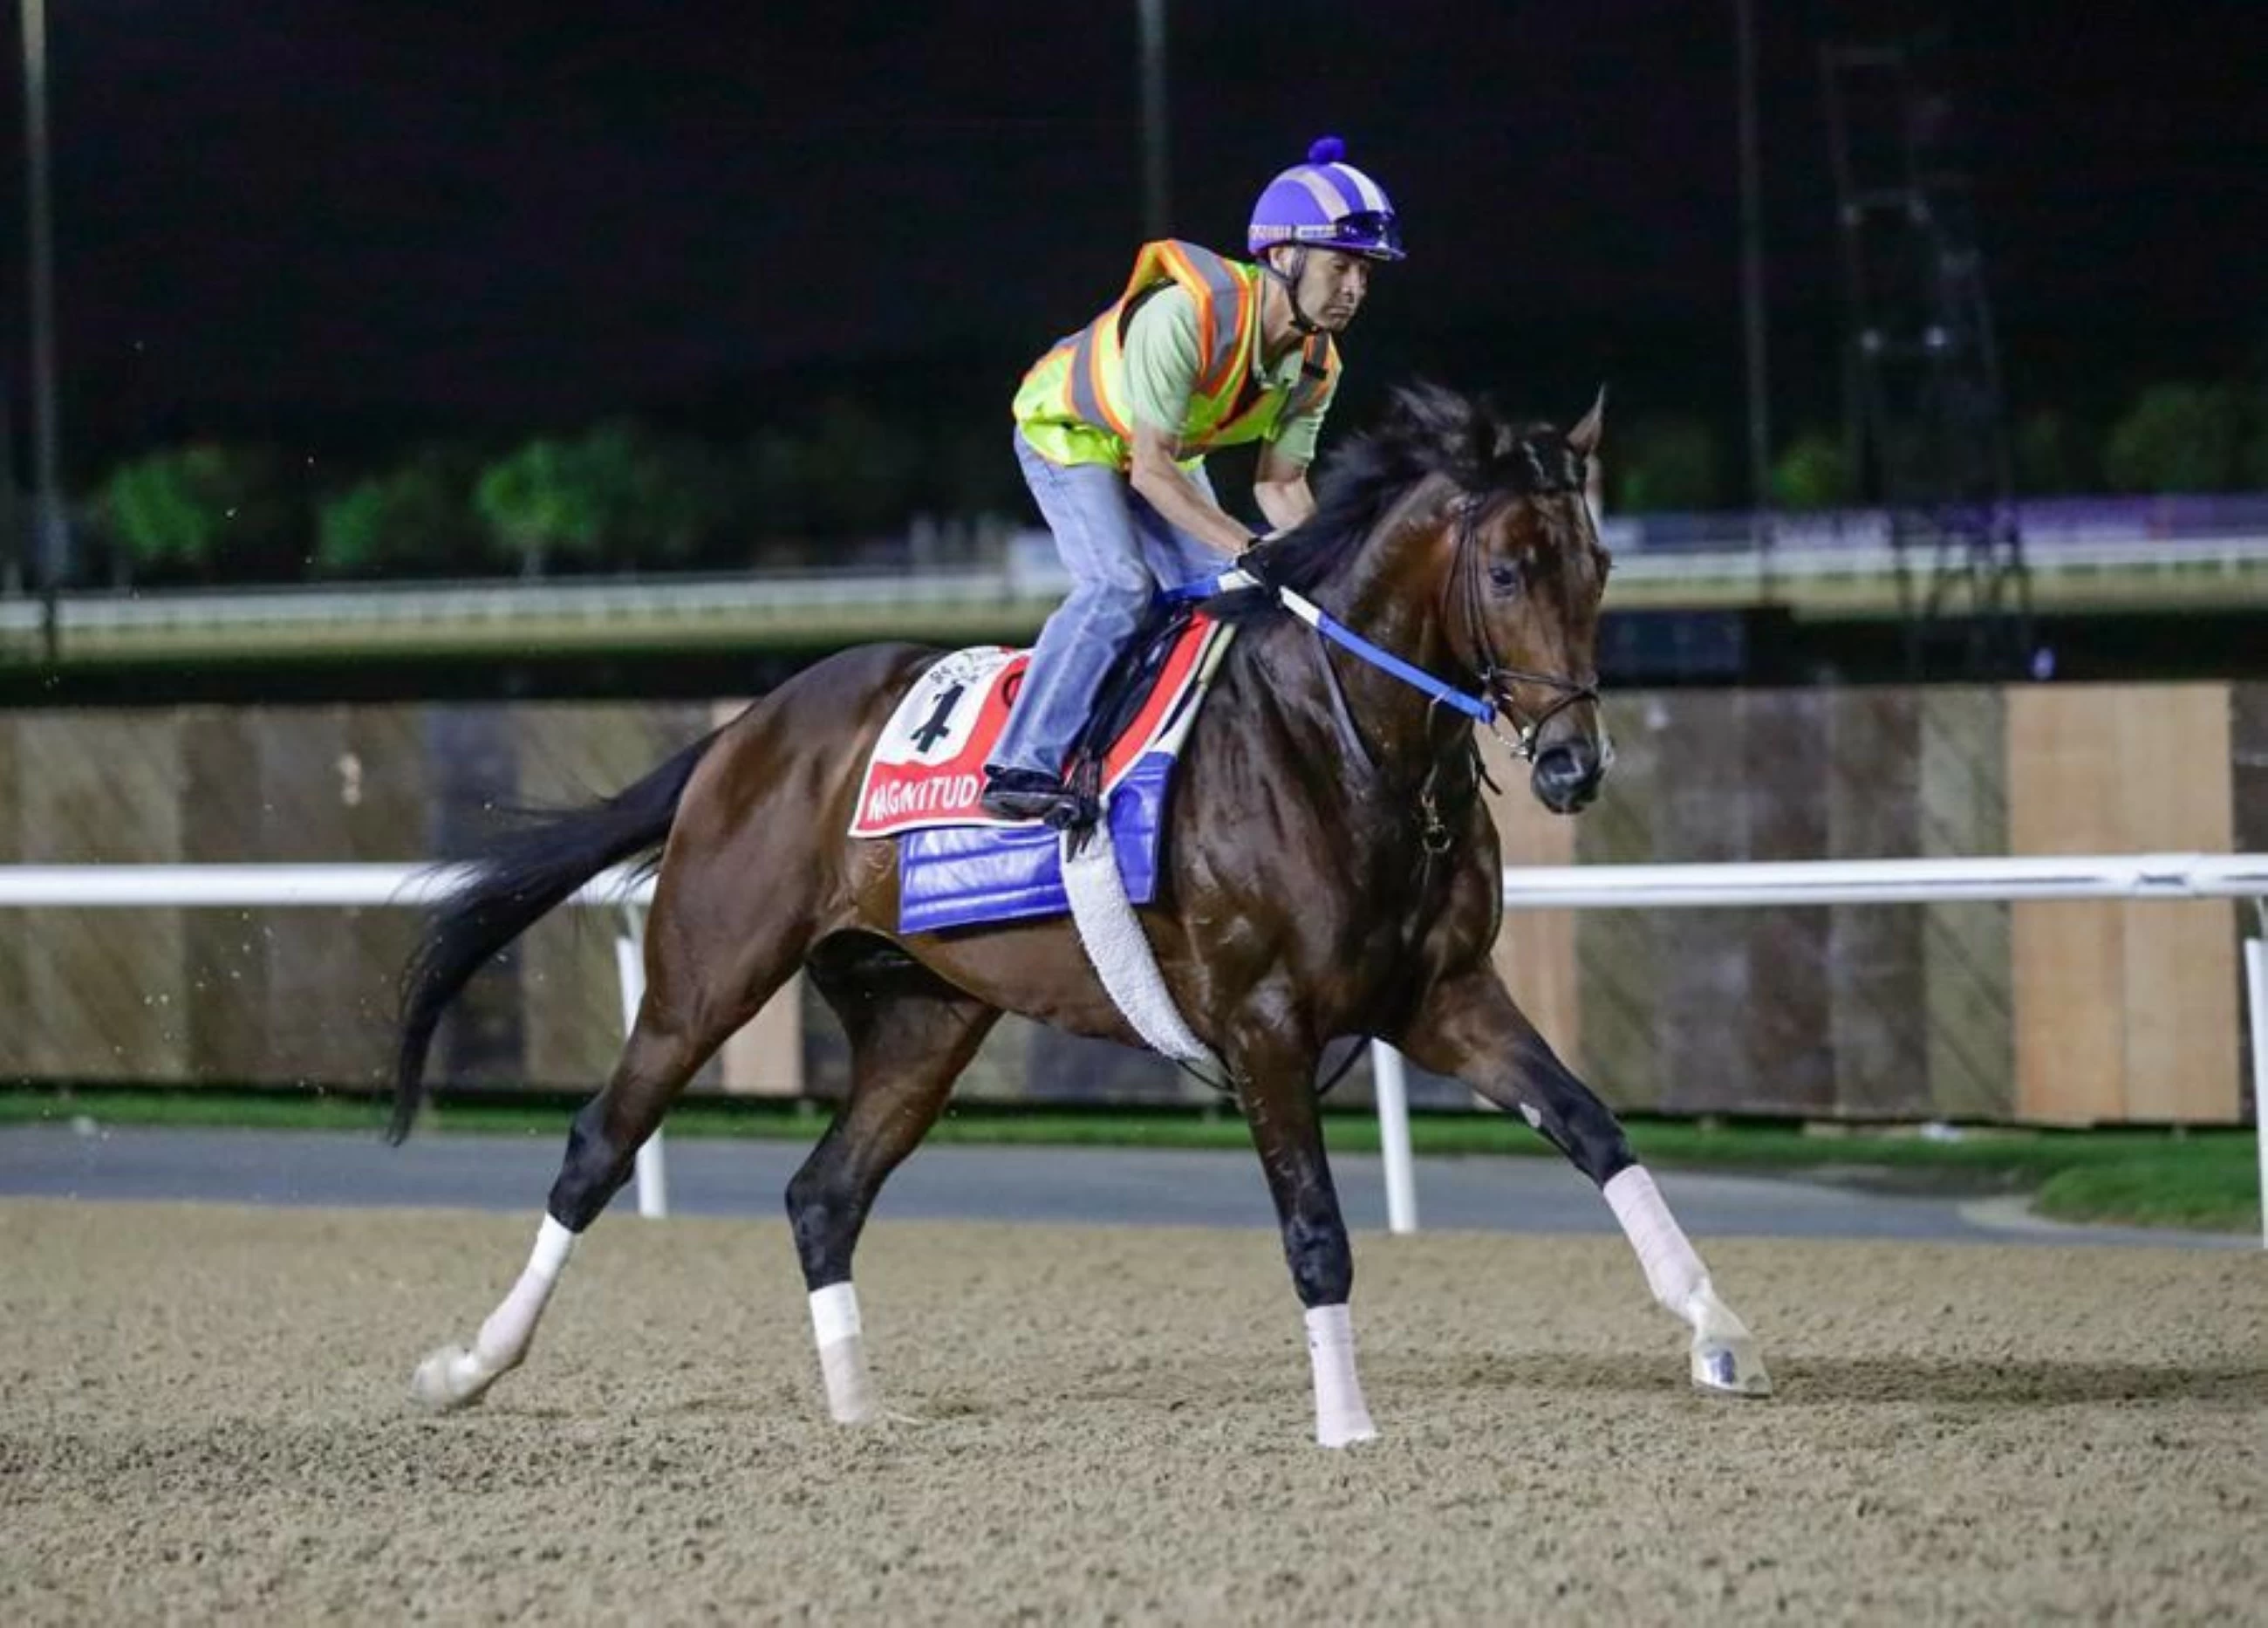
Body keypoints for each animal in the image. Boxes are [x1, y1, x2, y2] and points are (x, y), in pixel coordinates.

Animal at [389, 382, 1771, 1448]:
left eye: (1599, 568)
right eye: (1504, 568)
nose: (1573, 767)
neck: (1341, 744)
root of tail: (743, 730)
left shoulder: (1441, 996)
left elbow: (1592, 1127)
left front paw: (1719, 1330)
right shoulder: (1263, 1020)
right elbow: (1315, 1229)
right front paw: (1345, 1422)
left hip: (923, 1017)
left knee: (823, 1196)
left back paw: (859, 1409)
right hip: (704, 974)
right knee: (598, 1147)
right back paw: (467, 1365)